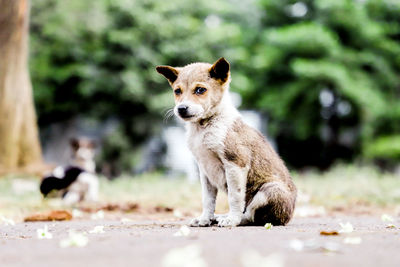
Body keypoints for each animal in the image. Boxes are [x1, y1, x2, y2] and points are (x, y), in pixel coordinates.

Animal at [156, 57, 296, 227]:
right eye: (177, 91)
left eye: (200, 90)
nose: (181, 108)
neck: (204, 127)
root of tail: (288, 217)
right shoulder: (204, 170)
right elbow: (208, 200)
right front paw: (204, 219)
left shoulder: (235, 164)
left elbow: (234, 198)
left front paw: (232, 219)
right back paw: (217, 217)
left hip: (270, 190)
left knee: (250, 216)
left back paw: (230, 218)